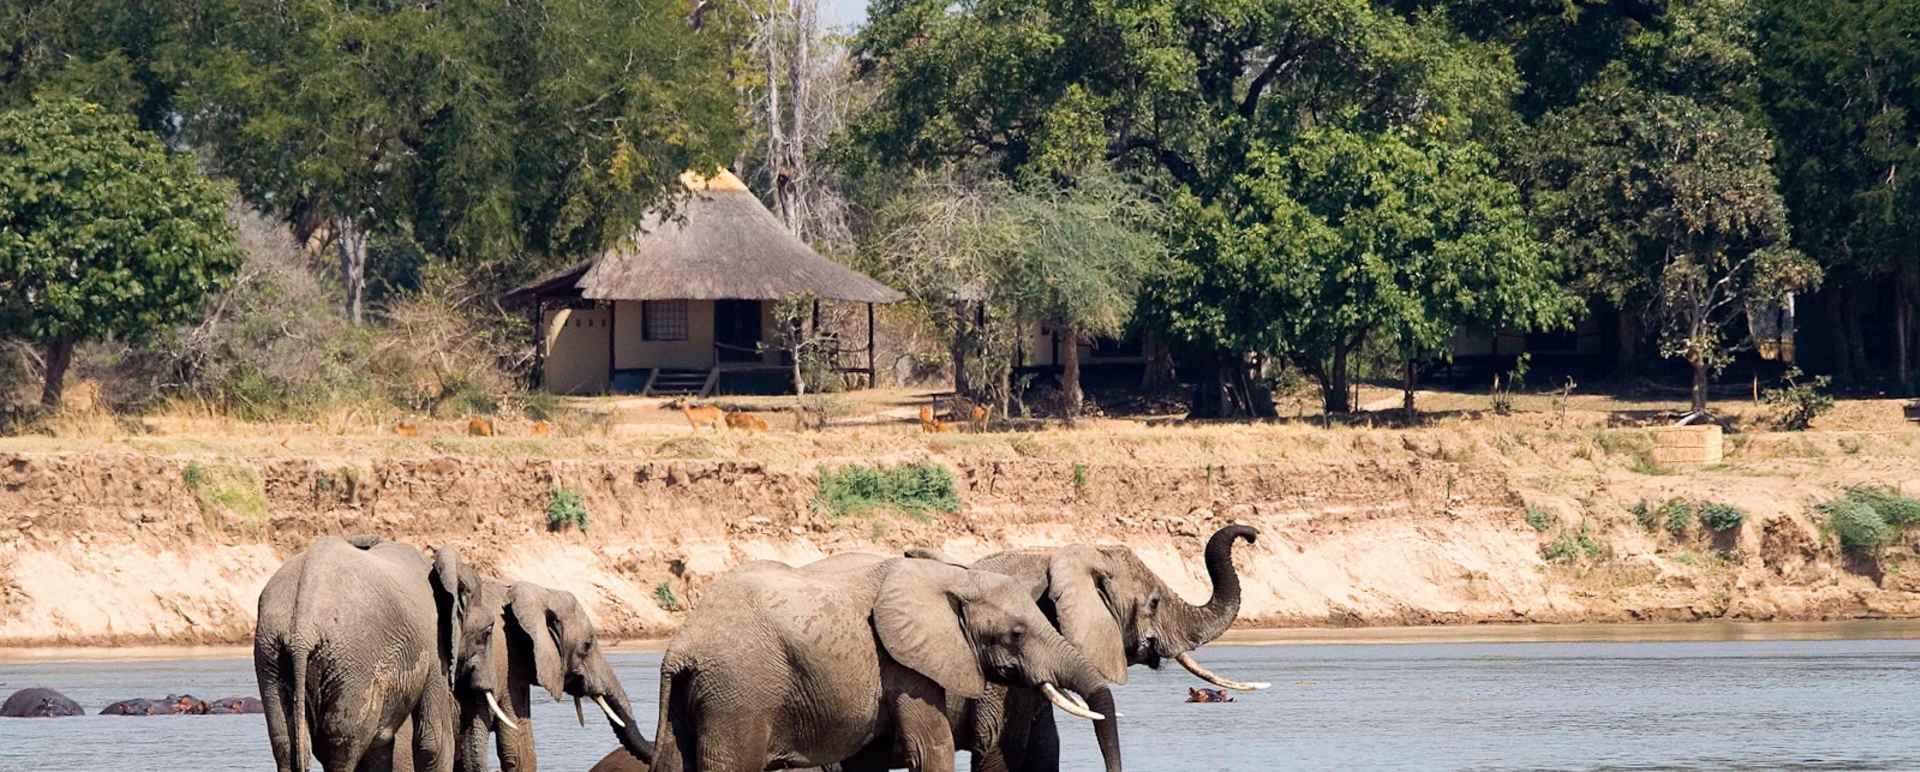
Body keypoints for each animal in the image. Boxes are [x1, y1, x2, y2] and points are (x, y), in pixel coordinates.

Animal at [254, 535, 460, 772]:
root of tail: (302, 630)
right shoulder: (433, 643)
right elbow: (434, 741)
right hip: (353, 662)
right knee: (342, 748)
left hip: (271, 652)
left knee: (286, 743)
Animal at [647, 555, 1115, 772]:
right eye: (1016, 634)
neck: (952, 576)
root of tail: (681, 647)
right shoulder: (905, 665)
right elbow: (932, 749)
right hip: (738, 695)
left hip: (696, 696)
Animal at [853, 525, 1264, 772]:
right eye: (1154, 602)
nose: (1251, 534)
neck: (1052, 555)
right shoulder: (999, 677)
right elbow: (999, 751)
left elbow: (1045, 751)